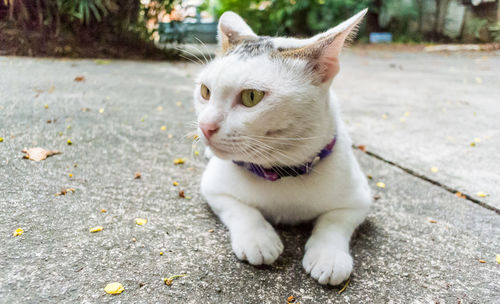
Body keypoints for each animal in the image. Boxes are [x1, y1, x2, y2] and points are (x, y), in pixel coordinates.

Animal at [191, 8, 372, 284]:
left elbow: (334, 221)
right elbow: (240, 209)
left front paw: (329, 256)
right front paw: (258, 239)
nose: (205, 126)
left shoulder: (360, 199)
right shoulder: (213, 187)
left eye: (251, 96)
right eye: (205, 91)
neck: (282, 171)